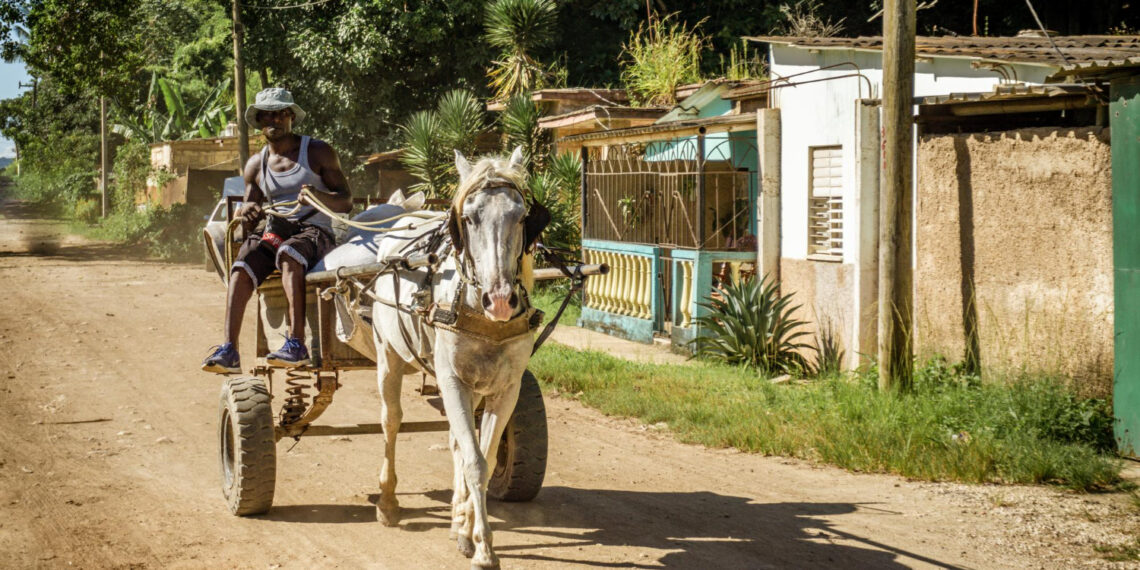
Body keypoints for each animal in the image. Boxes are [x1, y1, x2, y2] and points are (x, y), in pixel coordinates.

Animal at [369, 146, 548, 569]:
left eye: (522, 216)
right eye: (468, 218)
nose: (500, 300)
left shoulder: (505, 388)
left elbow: (482, 457)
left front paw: (468, 531)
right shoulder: (452, 380)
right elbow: (475, 461)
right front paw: (483, 547)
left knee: (454, 440)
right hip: (388, 355)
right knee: (391, 422)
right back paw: (387, 500)